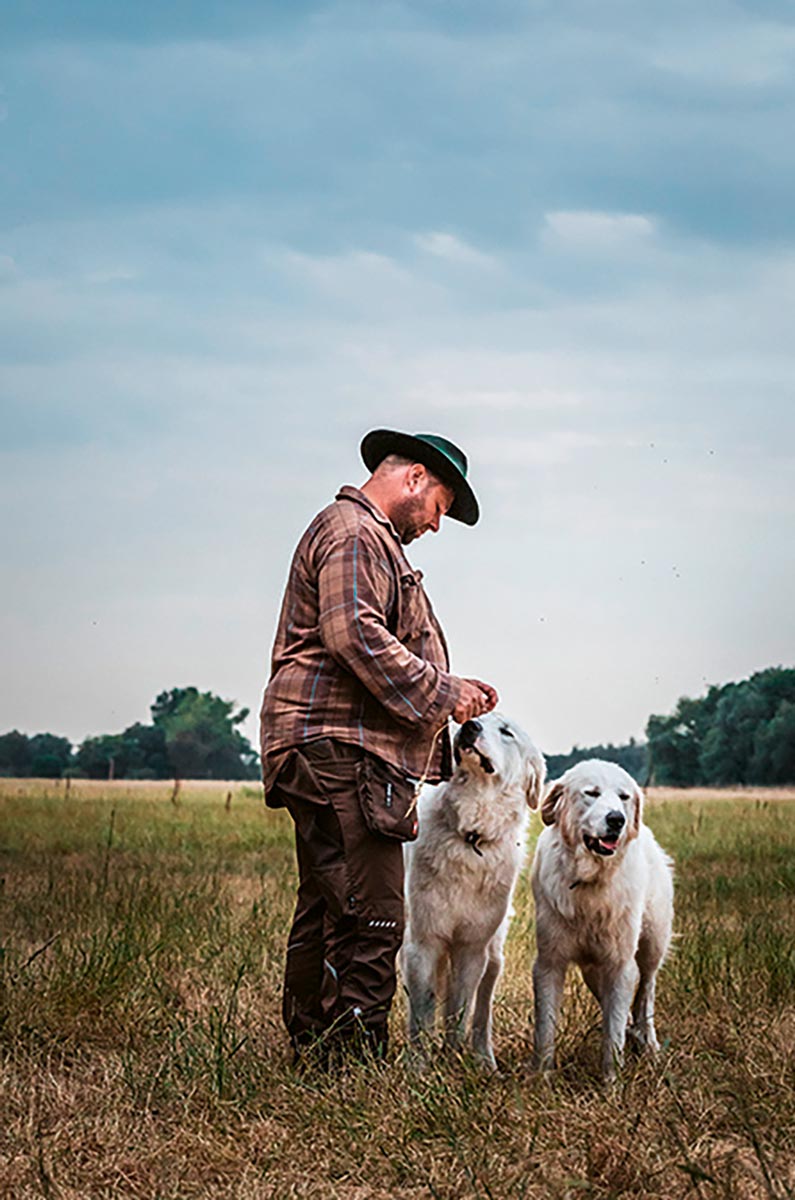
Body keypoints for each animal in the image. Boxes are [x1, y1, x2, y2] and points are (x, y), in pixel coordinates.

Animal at [405, 705, 547, 1065]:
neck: (470, 836)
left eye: (506, 732)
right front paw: (419, 1066)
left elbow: (460, 1009)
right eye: (477, 718)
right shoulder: (423, 942)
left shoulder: (472, 948)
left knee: (481, 1013)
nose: (469, 726)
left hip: (493, 956)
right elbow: (423, 1010)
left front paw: (453, 1058)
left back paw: (484, 1060)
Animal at [533, 763, 677, 1084]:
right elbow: (545, 1027)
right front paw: (542, 1077)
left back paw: (648, 1043)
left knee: (646, 992)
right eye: (591, 793)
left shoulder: (620, 964)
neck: (589, 883)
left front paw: (611, 1083)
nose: (617, 819)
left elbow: (613, 1032)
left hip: (651, 945)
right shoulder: (550, 962)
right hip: (592, 970)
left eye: (623, 797)